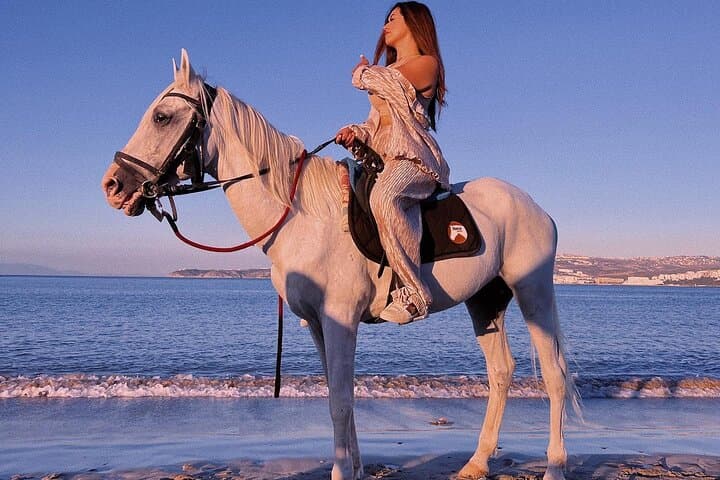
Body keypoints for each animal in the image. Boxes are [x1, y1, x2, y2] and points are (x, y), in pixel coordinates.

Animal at [101, 50, 579, 480]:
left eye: (162, 117)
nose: (113, 185)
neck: (299, 215)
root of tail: (537, 208)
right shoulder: (318, 323)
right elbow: (338, 395)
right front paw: (356, 468)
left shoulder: (340, 319)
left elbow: (340, 403)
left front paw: (341, 470)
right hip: (484, 301)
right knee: (500, 372)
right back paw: (477, 463)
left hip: (533, 290)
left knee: (555, 375)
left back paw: (554, 466)